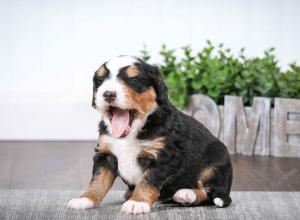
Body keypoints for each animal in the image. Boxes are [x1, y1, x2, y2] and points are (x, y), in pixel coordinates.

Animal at [67, 55, 232, 215]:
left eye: (133, 80)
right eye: (100, 80)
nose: (108, 94)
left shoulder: (163, 156)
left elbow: (148, 181)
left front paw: (137, 202)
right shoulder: (105, 154)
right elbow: (97, 181)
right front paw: (85, 199)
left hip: (216, 162)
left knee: (212, 193)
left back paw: (186, 194)